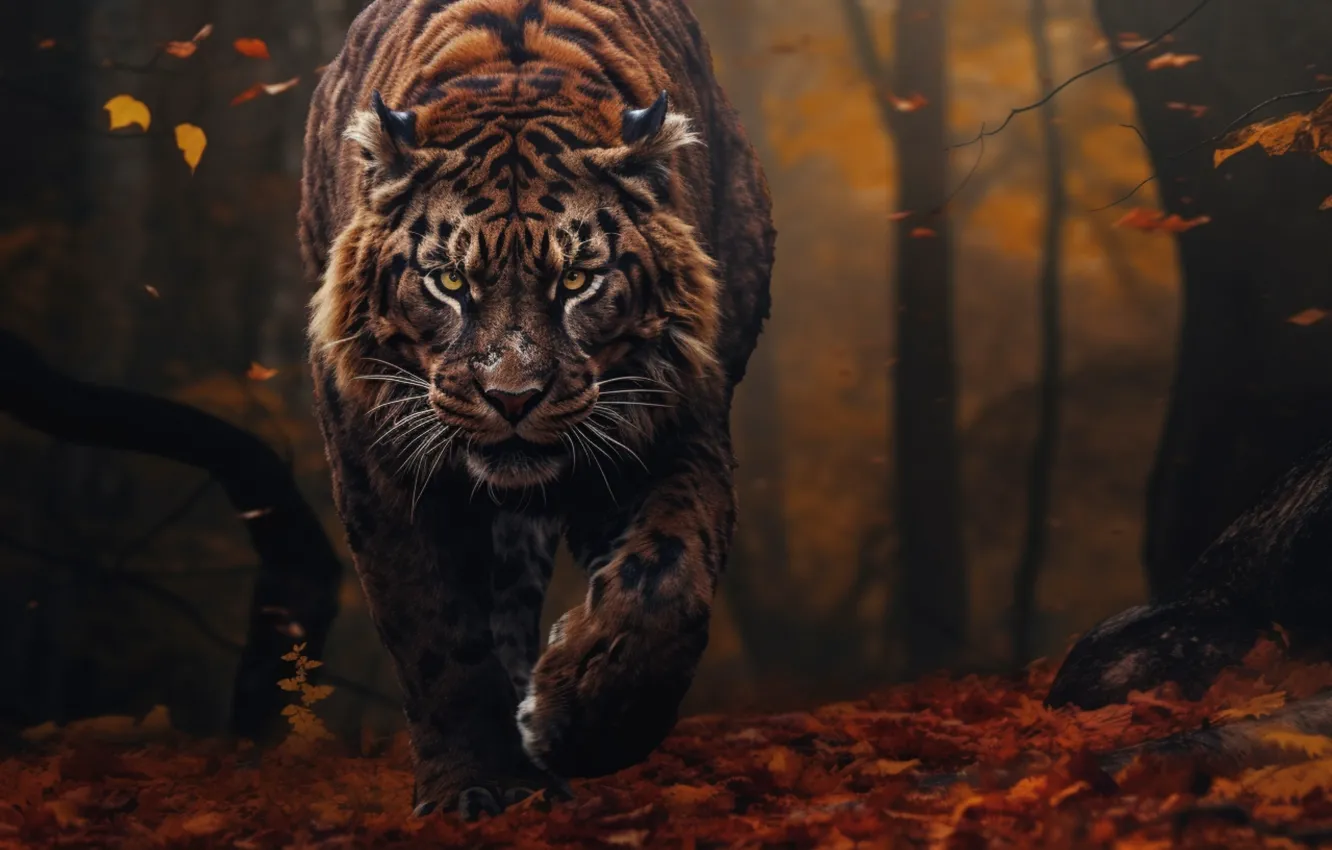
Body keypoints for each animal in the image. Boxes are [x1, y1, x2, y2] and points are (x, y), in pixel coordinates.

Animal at [298, 0, 775, 820]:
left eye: (579, 279)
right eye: (450, 281)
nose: (512, 398)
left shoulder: (675, 425)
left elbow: (665, 580)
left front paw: (578, 722)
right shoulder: (378, 463)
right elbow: (434, 628)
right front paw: (471, 783)